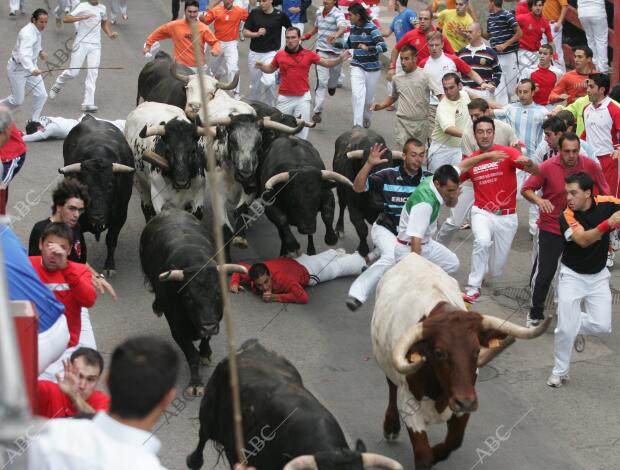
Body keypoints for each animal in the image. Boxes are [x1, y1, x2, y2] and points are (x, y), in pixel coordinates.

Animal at [60, 114, 134, 276]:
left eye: (110, 186)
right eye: (84, 186)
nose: (97, 217)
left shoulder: (120, 216)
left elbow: (111, 240)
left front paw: (109, 266)